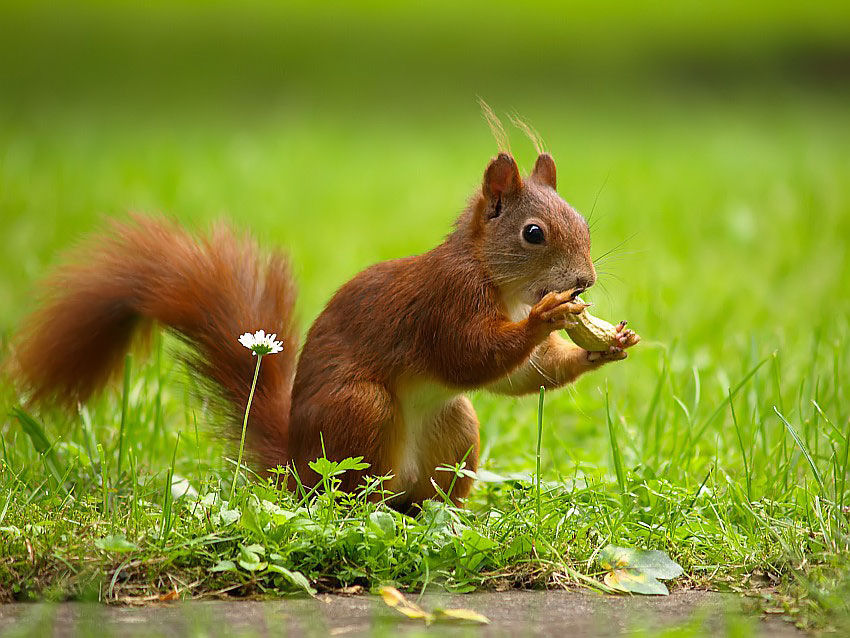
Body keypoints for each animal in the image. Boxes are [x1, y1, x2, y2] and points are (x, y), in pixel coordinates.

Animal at [11, 152, 636, 512]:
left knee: (428, 490)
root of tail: (293, 467)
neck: (491, 276)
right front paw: (545, 317)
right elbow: (469, 356)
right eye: (533, 233)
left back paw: (446, 517)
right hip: (359, 414)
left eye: (582, 222)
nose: (584, 281)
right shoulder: (444, 303)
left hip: (453, 427)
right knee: (350, 492)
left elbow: (521, 375)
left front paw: (606, 347)